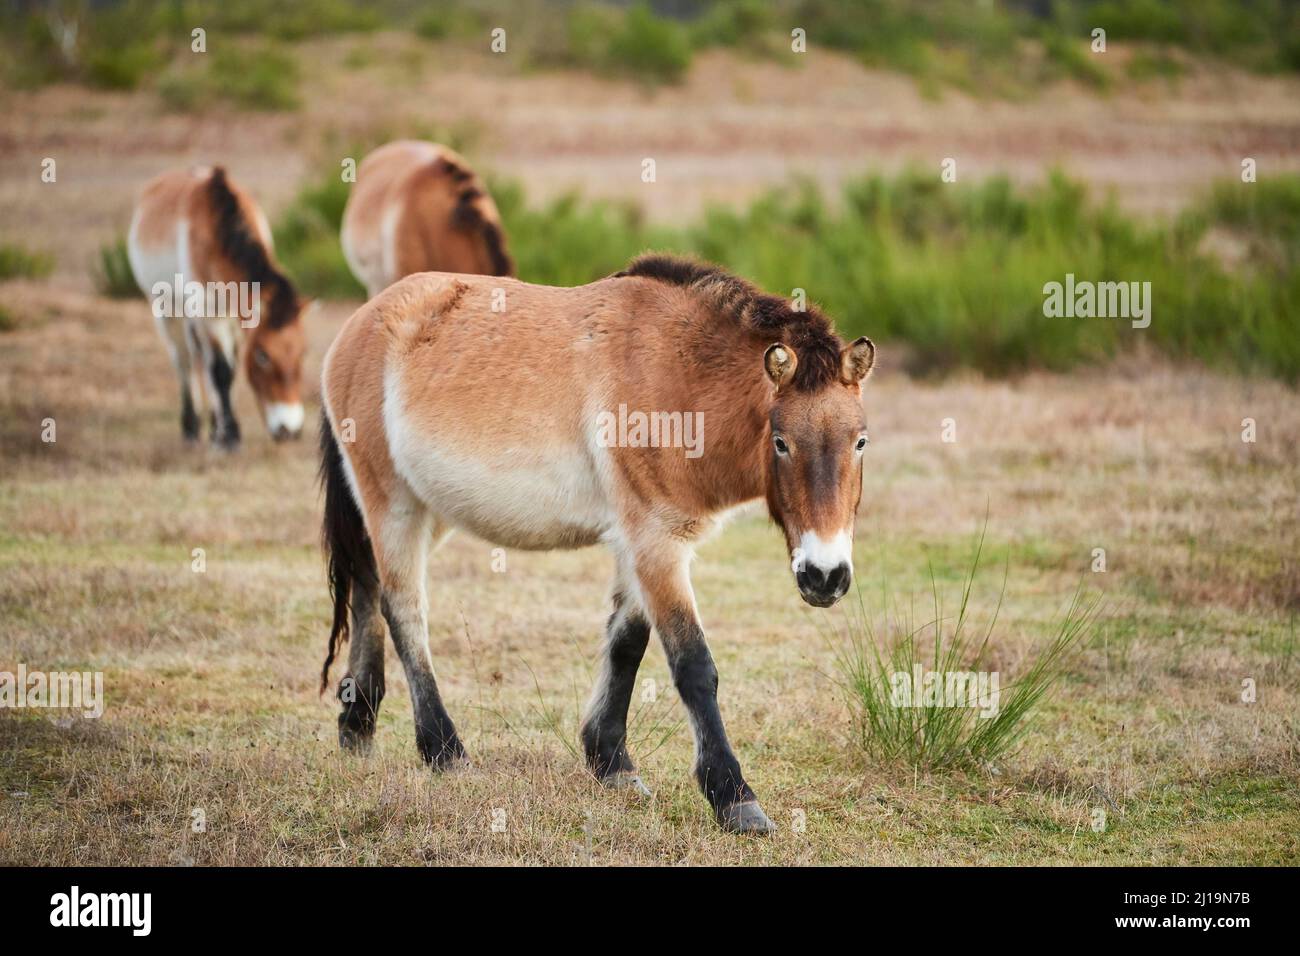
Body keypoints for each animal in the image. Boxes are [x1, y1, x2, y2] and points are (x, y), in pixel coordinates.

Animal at [127, 166, 309, 448]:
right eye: (262, 356)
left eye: (303, 353)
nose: (289, 430)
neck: (216, 236)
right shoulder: (209, 316)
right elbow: (222, 372)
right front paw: (231, 436)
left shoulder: (234, 320)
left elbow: (229, 369)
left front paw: (223, 430)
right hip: (167, 311)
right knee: (185, 361)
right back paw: (191, 428)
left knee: (202, 359)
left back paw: (213, 426)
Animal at [317, 254, 875, 834]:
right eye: (781, 442)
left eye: (860, 441)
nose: (825, 576)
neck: (680, 372)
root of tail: (359, 325)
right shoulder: (656, 542)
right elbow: (693, 665)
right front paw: (734, 796)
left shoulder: (638, 542)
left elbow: (626, 644)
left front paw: (612, 762)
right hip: (394, 505)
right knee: (403, 611)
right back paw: (444, 751)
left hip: (422, 510)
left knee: (366, 588)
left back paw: (357, 725)